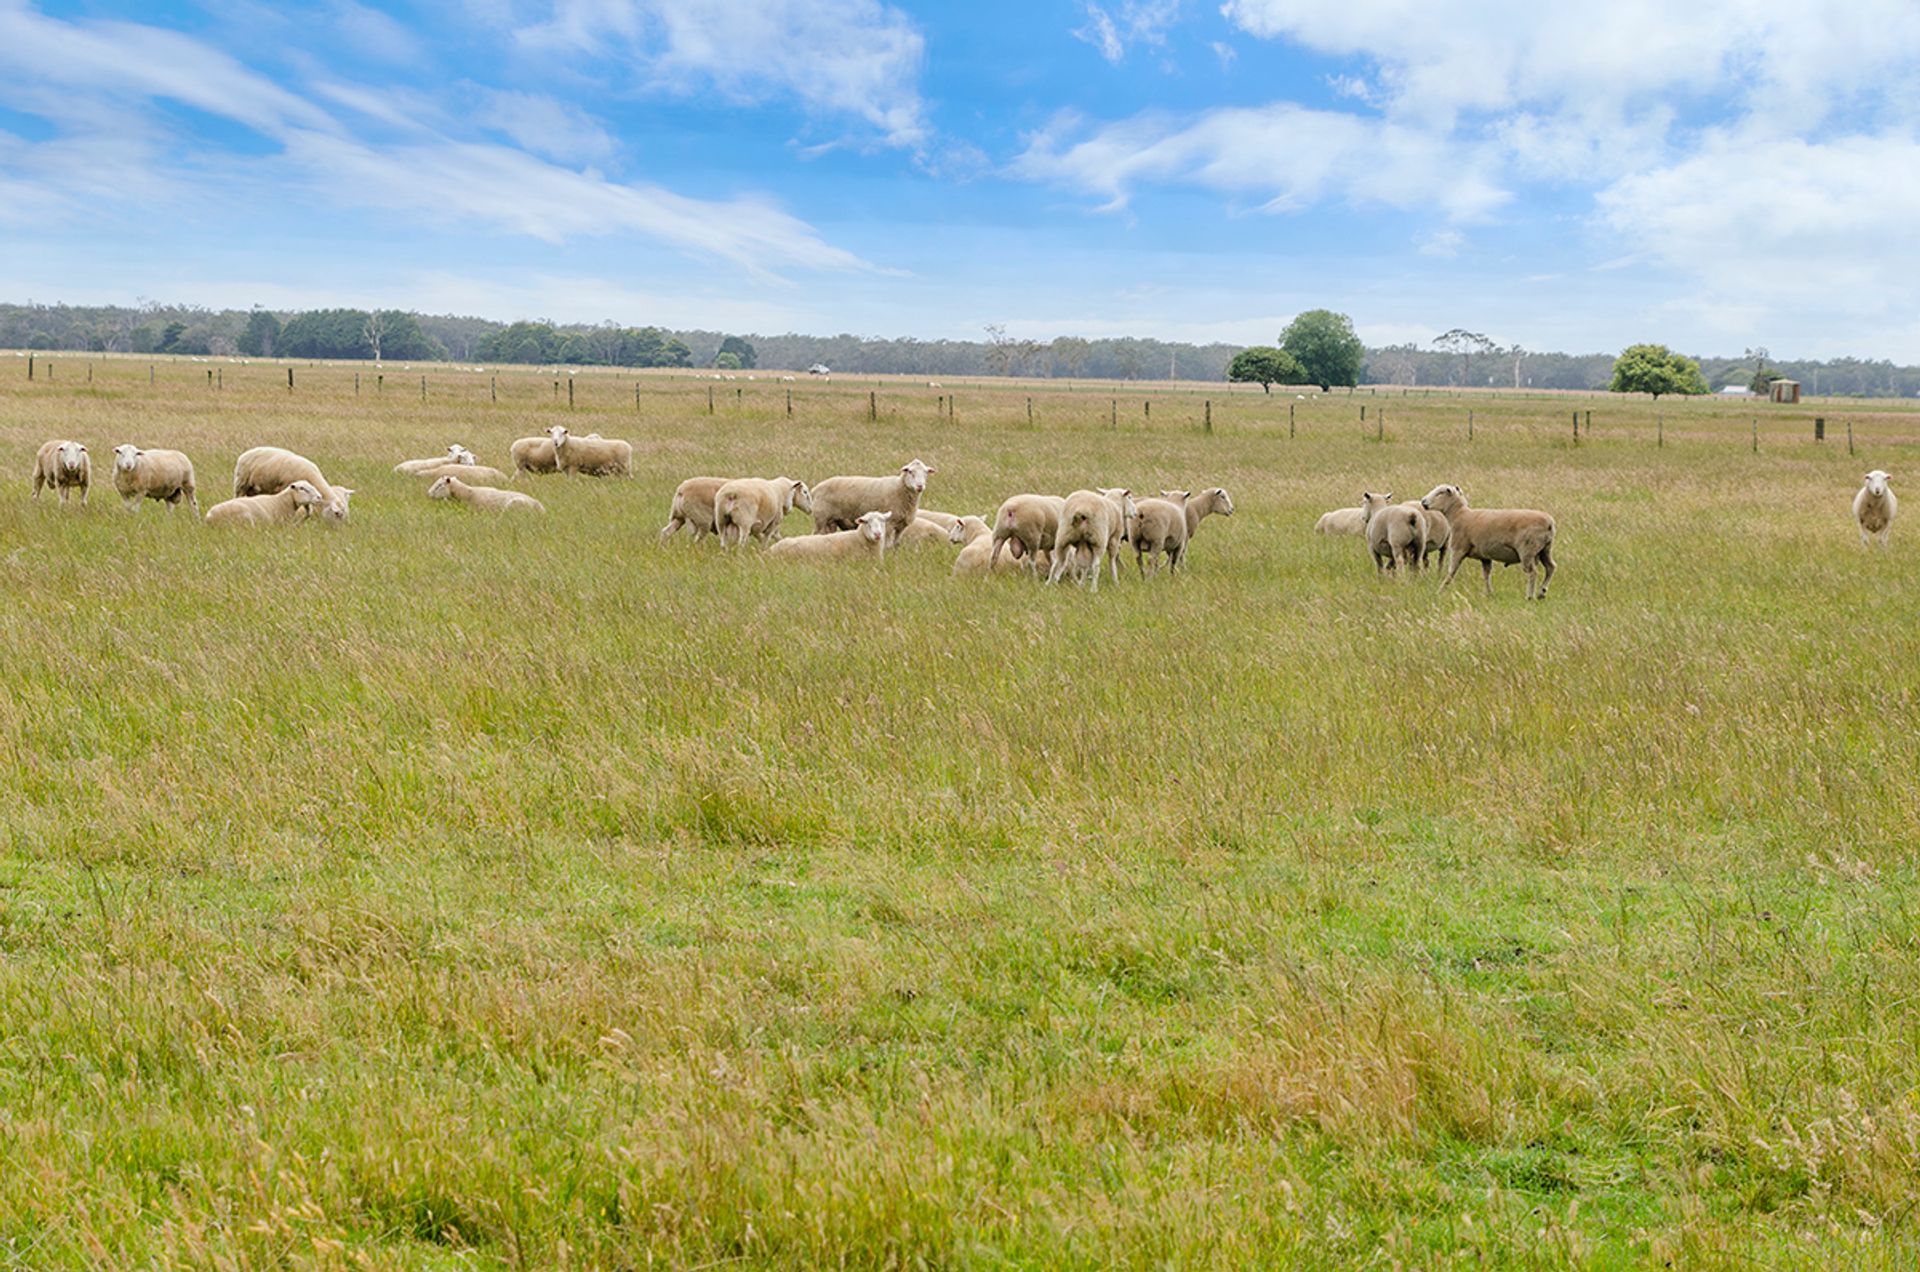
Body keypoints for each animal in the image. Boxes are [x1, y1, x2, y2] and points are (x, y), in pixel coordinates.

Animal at [1419, 484, 1557, 600]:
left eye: (1440, 493)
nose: (1423, 502)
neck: (1459, 515)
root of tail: (1549, 523)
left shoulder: (1458, 549)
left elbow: (1451, 572)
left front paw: (1439, 591)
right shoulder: (1484, 556)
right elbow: (1486, 574)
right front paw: (1489, 593)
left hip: (1527, 551)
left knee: (1533, 572)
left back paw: (1530, 596)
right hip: (1545, 549)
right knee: (1551, 567)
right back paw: (1542, 592)